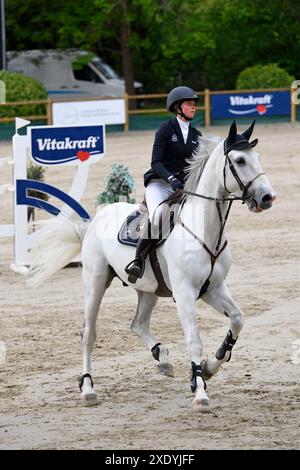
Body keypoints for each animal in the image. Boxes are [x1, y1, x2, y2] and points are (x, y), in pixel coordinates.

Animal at [28, 121, 276, 412]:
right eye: (239, 160)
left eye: (257, 157)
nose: (267, 197)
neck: (205, 229)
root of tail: (95, 219)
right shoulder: (185, 293)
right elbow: (194, 341)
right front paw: (200, 392)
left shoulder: (213, 289)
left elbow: (237, 319)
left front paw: (210, 366)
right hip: (95, 281)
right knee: (88, 333)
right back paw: (88, 388)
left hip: (149, 290)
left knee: (138, 324)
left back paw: (163, 358)